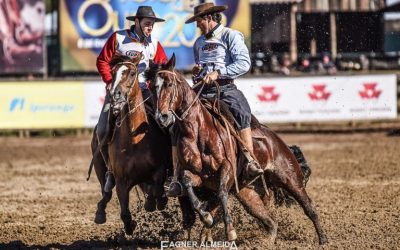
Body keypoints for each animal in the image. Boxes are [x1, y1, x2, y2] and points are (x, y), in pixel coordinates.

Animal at [147, 54, 328, 244]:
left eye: (169, 84)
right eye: (151, 87)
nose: (162, 117)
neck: (198, 131)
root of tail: (276, 140)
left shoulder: (227, 168)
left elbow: (221, 194)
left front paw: (230, 230)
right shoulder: (198, 176)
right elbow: (188, 184)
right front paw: (206, 217)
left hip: (290, 178)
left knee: (308, 206)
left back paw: (323, 239)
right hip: (247, 193)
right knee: (270, 222)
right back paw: (265, 242)